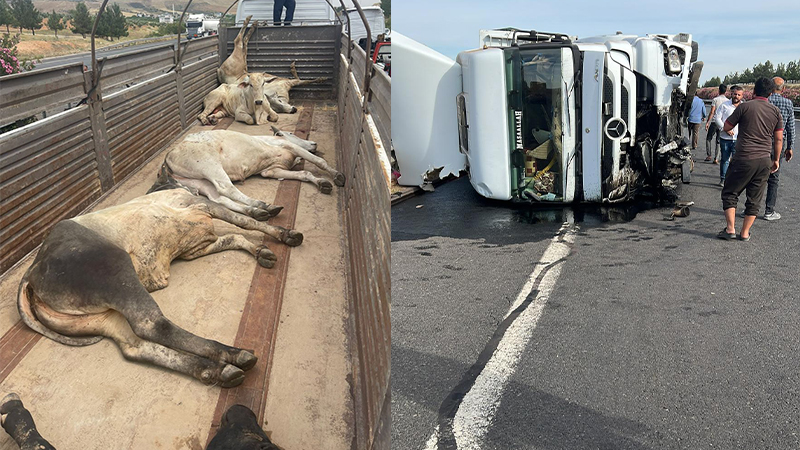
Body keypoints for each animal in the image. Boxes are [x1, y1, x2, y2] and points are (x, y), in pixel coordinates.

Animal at [16, 188, 304, 388]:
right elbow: (245, 223)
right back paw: (232, 354)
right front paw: (284, 234)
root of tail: (33, 269)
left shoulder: (197, 248)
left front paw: (261, 251)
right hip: (117, 271)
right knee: (152, 325)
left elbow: (235, 237)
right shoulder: (203, 206)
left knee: (135, 346)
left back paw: (216, 370)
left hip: (102, 317)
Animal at [163, 128, 346, 220]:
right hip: (210, 166)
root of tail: (169, 154)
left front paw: (322, 183)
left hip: (198, 181)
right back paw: (262, 205)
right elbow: (318, 161)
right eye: (291, 133)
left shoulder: (271, 171)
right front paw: (337, 175)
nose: (314, 143)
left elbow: (305, 173)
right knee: (227, 189)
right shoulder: (289, 147)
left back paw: (258, 210)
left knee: (219, 199)